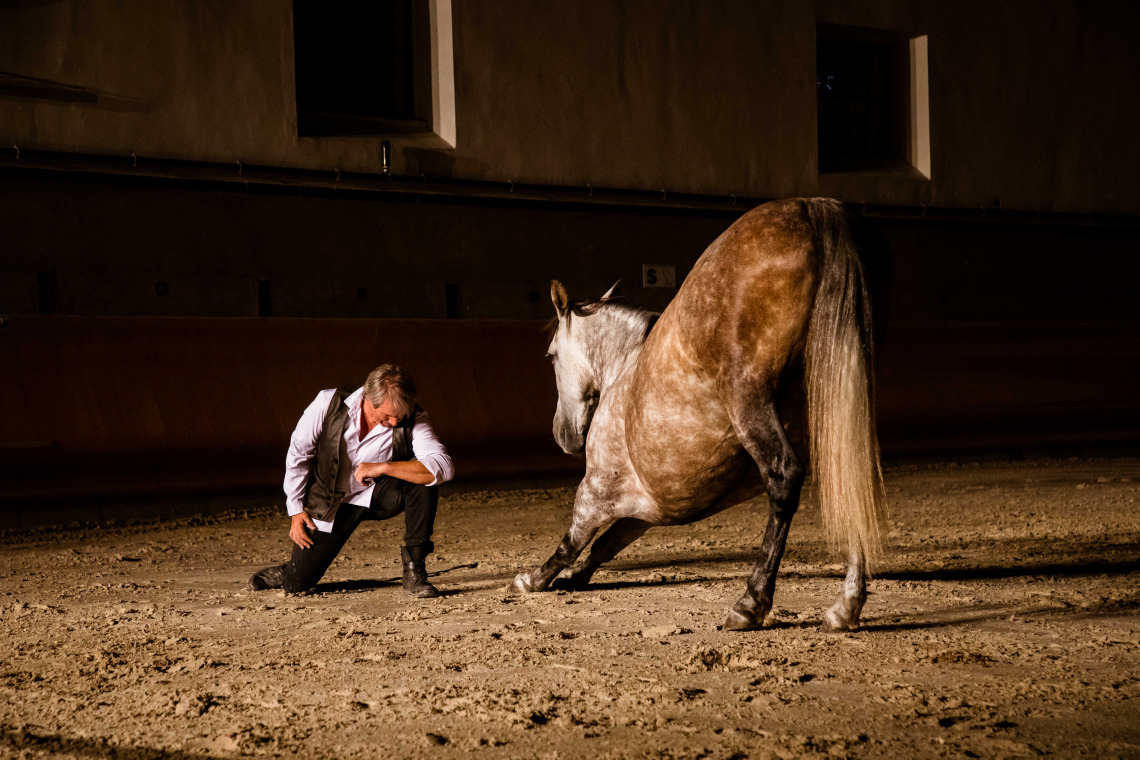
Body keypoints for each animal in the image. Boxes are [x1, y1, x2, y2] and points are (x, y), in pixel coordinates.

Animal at [513, 195, 893, 628]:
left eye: (551, 355)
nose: (563, 435)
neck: (625, 368)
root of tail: (812, 207)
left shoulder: (596, 488)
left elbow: (573, 540)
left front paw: (532, 579)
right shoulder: (646, 509)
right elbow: (605, 544)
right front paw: (574, 578)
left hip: (749, 398)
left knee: (783, 479)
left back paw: (751, 602)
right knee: (852, 483)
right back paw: (846, 604)